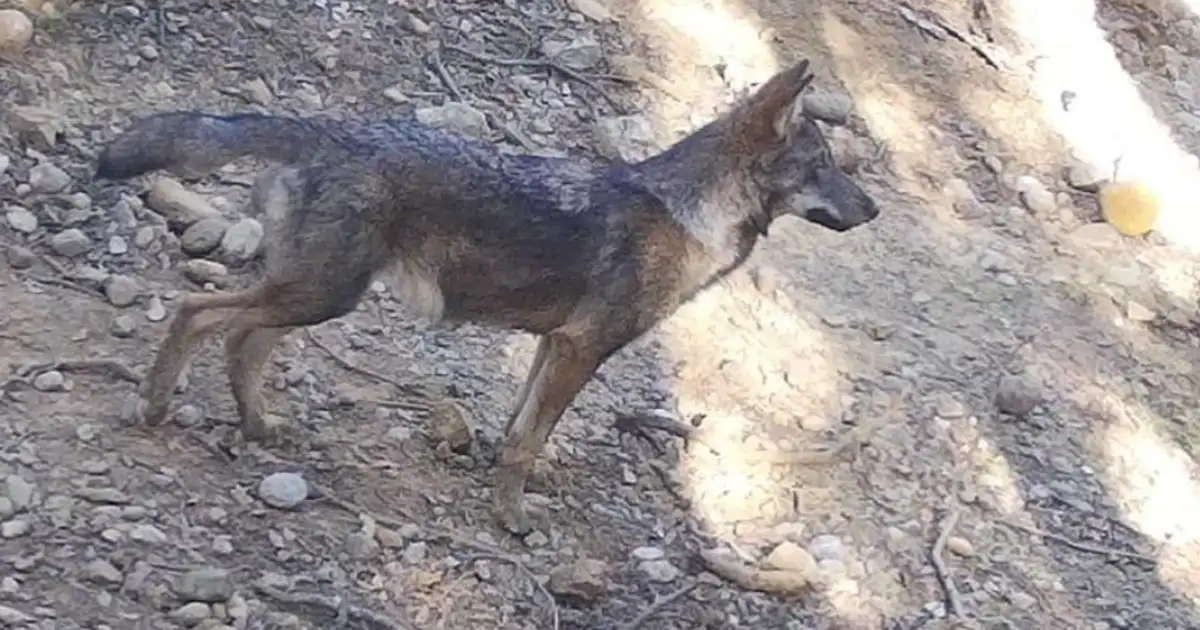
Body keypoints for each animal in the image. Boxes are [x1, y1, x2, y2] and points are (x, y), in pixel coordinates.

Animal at [94, 59, 879, 534]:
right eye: (822, 167)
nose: (873, 210)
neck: (689, 215)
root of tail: (328, 129)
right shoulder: (580, 349)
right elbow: (527, 443)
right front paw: (512, 518)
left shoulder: (551, 345)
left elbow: (518, 428)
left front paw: (505, 488)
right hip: (318, 296)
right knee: (198, 312)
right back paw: (158, 406)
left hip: (314, 298)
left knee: (239, 339)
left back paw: (258, 426)